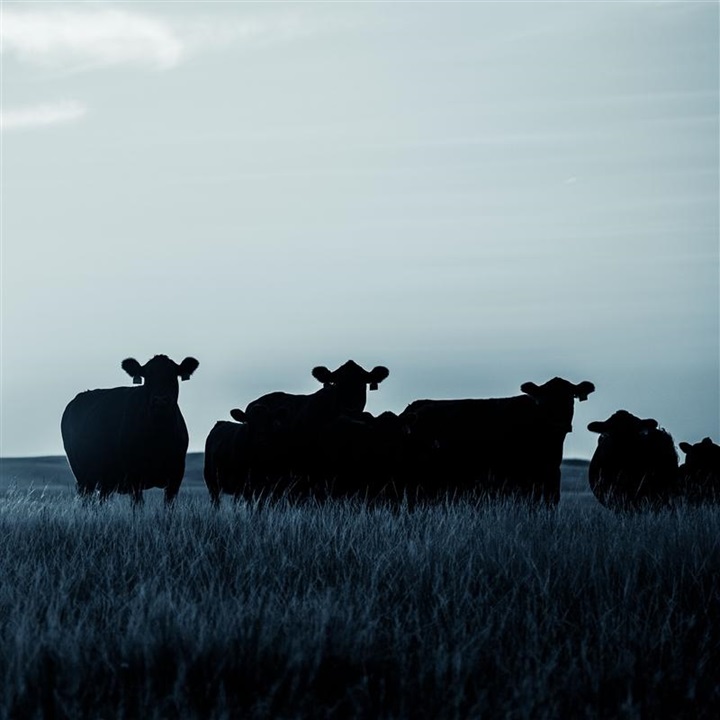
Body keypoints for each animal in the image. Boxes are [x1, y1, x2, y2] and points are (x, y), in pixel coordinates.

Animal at [59, 356, 198, 506]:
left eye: (173, 375)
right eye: (147, 376)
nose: (160, 400)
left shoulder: (176, 475)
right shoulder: (134, 476)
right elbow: (138, 504)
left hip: (106, 479)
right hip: (83, 476)